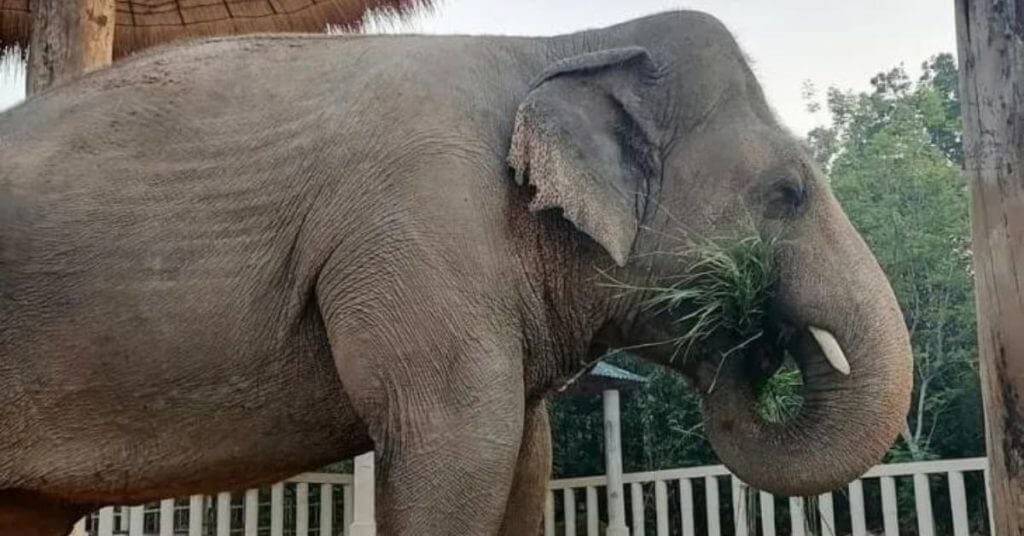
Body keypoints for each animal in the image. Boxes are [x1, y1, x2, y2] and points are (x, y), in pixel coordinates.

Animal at [0, 9, 913, 536]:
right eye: (787, 192)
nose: (754, 342)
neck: (561, 45)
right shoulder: (420, 225)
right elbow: (460, 443)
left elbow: (525, 459)